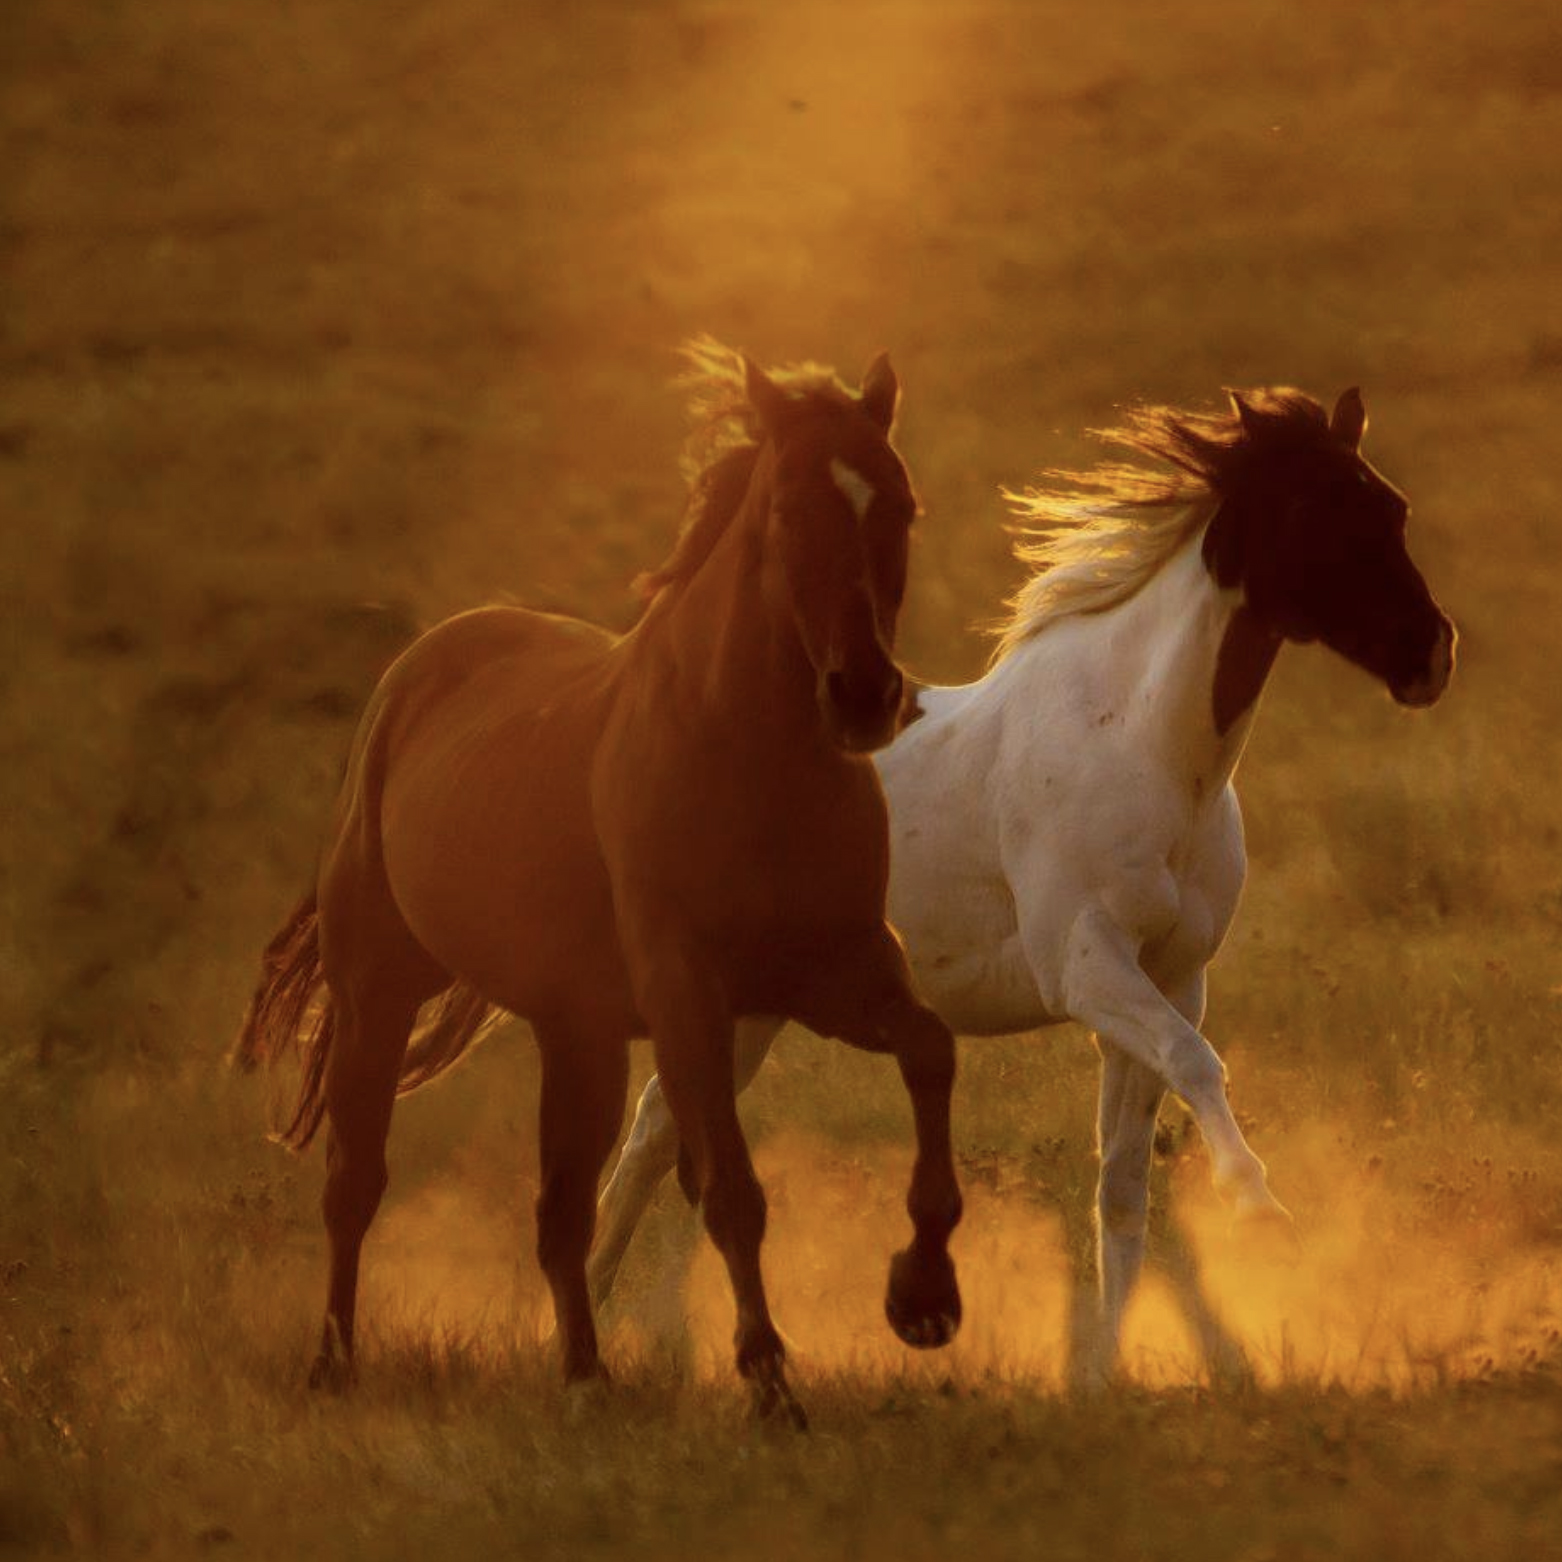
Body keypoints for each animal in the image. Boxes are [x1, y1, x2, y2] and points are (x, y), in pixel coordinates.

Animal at [232, 342, 962, 1430]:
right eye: (789, 510)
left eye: (901, 505)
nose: (867, 697)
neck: (747, 755)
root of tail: (415, 671)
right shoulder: (688, 994)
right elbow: (727, 1184)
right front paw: (769, 1377)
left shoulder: (837, 972)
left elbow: (930, 1052)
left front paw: (923, 1295)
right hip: (377, 996)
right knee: (355, 1183)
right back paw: (333, 1366)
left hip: (576, 1037)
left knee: (558, 1211)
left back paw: (584, 1373)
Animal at [587, 384, 1449, 1374]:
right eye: (1315, 511)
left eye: (1392, 508)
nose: (1433, 654)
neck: (1144, 742)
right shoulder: (1085, 966)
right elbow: (1198, 1067)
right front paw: (1260, 1211)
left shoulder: (1171, 977)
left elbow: (1126, 1177)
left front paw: (1108, 1370)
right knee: (663, 1137)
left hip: (754, 1010)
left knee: (659, 1130)